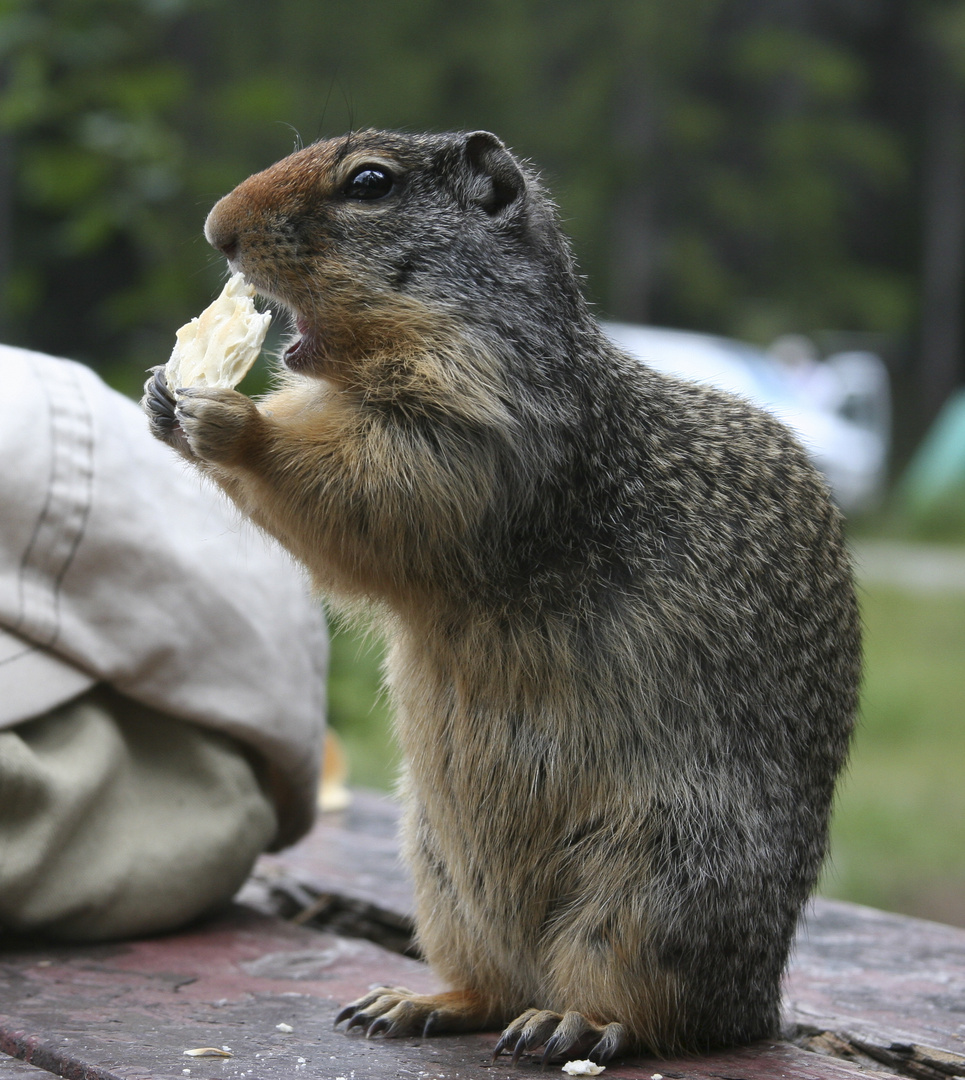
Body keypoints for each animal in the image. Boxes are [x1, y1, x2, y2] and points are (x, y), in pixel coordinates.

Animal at [141, 128, 863, 1062]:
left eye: (368, 183)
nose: (216, 227)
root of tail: (758, 1006)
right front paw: (164, 395)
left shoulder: (483, 433)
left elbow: (380, 485)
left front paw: (233, 421)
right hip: (443, 878)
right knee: (492, 984)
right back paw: (418, 1002)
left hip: (657, 880)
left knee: (650, 1008)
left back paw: (574, 1021)